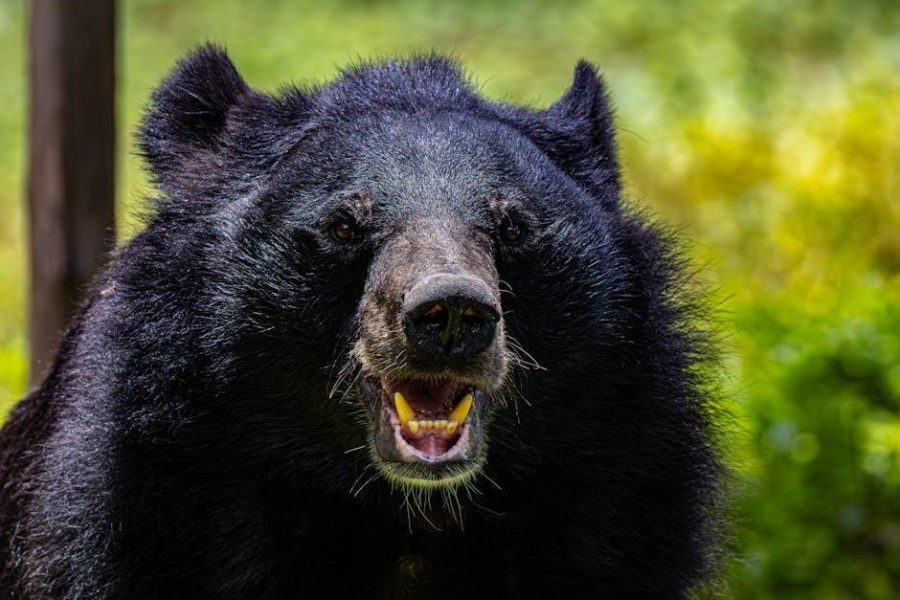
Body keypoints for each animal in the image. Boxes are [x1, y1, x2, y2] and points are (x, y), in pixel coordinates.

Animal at [0, 45, 721, 599]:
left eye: (513, 226)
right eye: (343, 225)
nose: (450, 314)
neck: (399, 512)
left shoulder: (612, 499)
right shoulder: (143, 498)